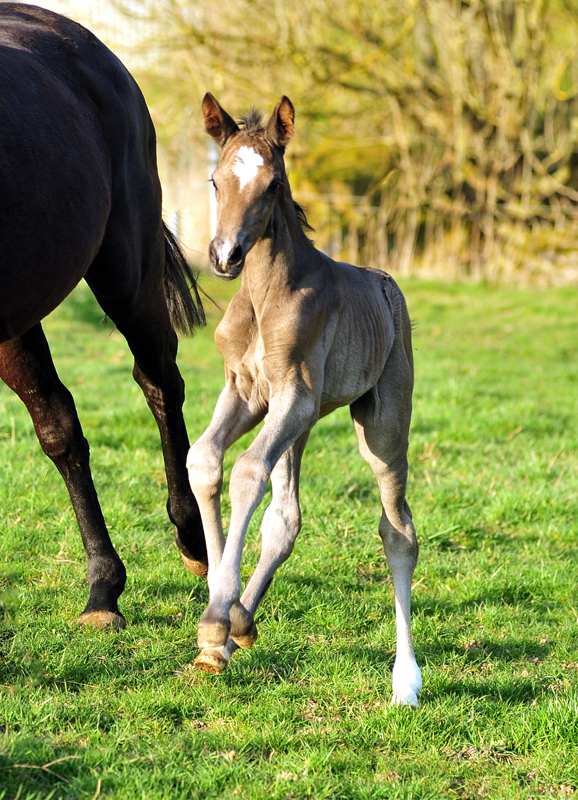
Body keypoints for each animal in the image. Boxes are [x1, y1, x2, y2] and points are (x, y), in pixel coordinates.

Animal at [187, 95, 420, 708]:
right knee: (285, 517)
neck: (265, 296)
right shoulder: (247, 391)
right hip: (298, 426)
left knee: (398, 531)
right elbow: (205, 461)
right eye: (216, 180)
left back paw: (406, 680)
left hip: (381, 427)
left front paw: (216, 619)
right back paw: (242, 622)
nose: (225, 255)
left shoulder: (295, 393)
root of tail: (388, 285)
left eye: (271, 184)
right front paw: (219, 625)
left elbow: (245, 472)